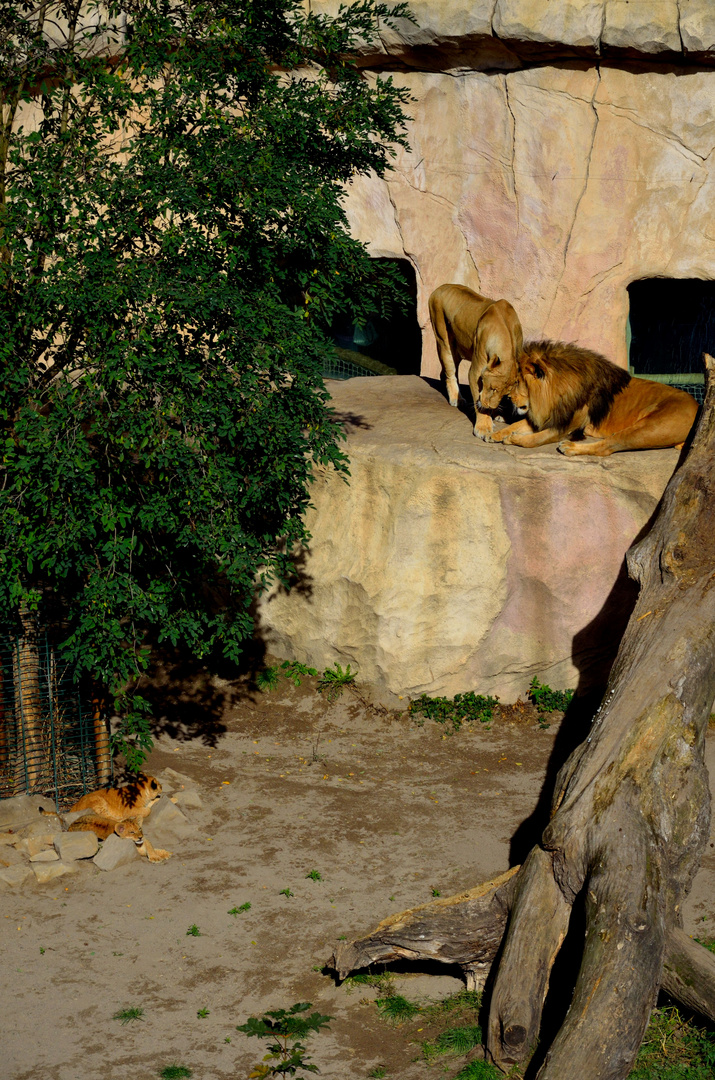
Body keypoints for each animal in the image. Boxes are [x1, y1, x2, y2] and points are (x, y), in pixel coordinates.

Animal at [427, 287, 524, 442]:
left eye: (506, 394)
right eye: (493, 388)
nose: (491, 406)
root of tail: (439, 288)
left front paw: (497, 413)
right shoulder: (475, 372)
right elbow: (481, 404)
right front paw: (483, 428)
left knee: (445, 372)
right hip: (443, 339)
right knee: (450, 372)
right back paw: (457, 399)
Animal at [488, 339, 699, 453]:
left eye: (517, 382)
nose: (509, 399)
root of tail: (698, 407)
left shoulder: (565, 427)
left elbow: (535, 440)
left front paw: (512, 439)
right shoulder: (551, 417)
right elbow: (518, 424)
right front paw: (495, 434)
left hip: (648, 429)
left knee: (607, 448)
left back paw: (570, 448)